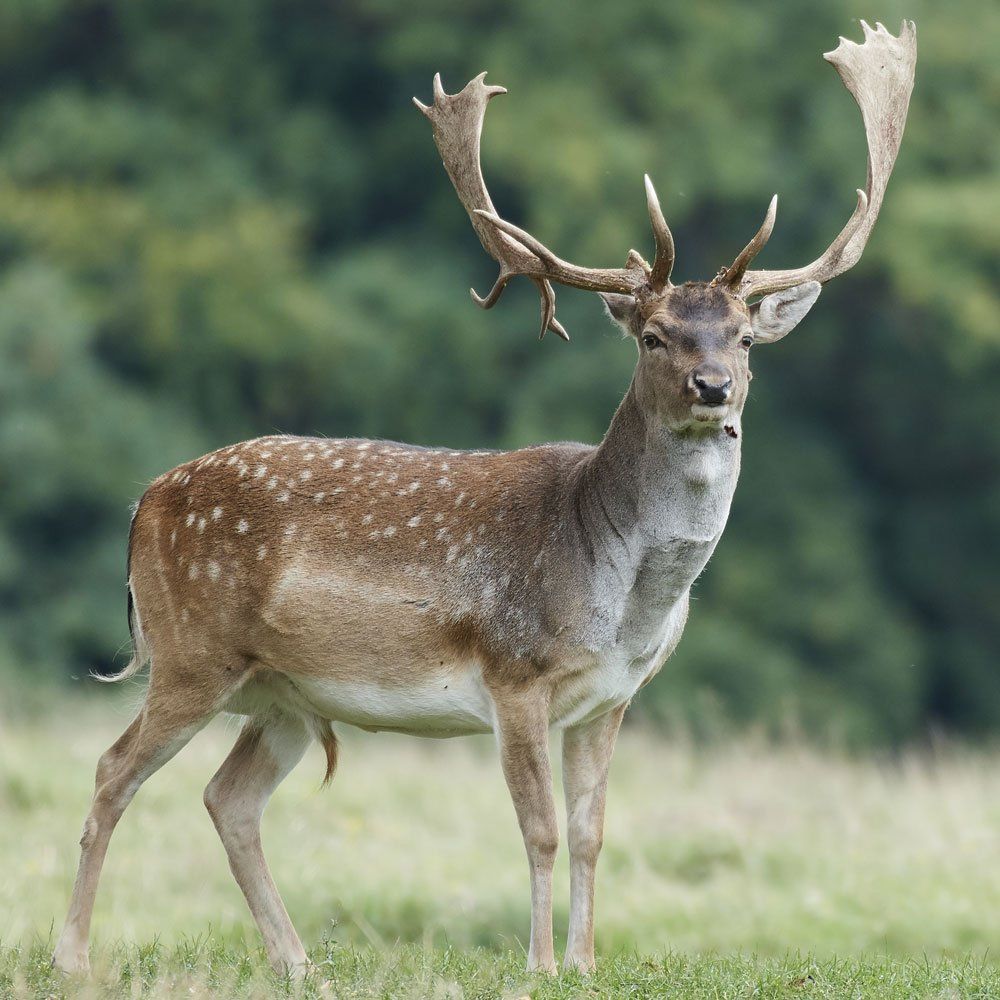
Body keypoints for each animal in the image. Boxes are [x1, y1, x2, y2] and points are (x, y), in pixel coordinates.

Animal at [54, 21, 916, 978]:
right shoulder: (515, 671)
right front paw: (539, 965)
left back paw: (298, 962)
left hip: (283, 692)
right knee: (112, 770)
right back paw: (73, 956)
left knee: (227, 797)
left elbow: (592, 834)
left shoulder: (613, 697)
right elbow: (538, 830)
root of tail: (143, 503)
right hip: (191, 649)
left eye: (744, 337)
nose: (714, 388)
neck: (626, 601)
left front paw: (584, 964)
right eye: (655, 335)